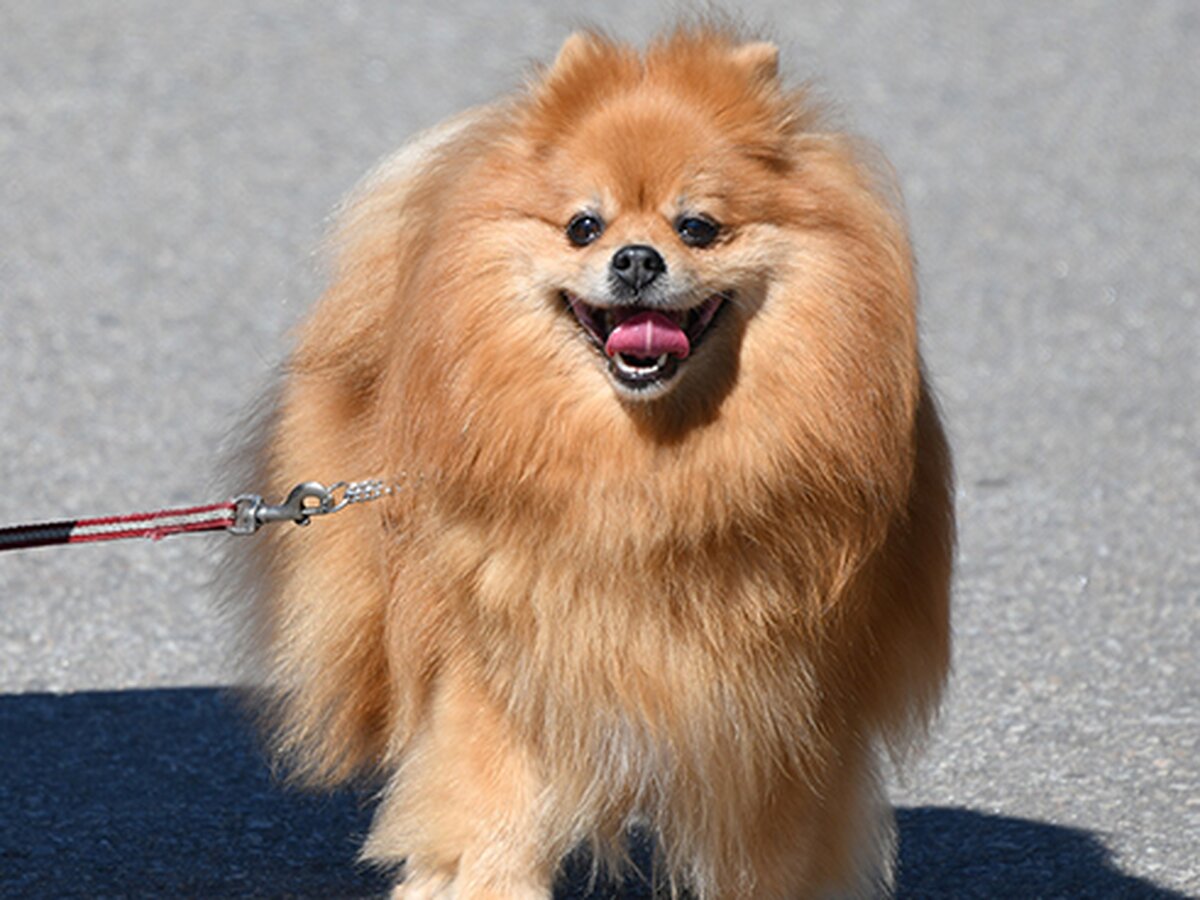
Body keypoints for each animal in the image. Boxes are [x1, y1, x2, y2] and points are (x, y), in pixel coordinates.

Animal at [229, 26, 950, 900]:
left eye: (698, 227)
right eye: (582, 226)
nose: (636, 258)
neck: (643, 472)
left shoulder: (779, 721)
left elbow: (774, 859)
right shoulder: (508, 680)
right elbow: (493, 827)